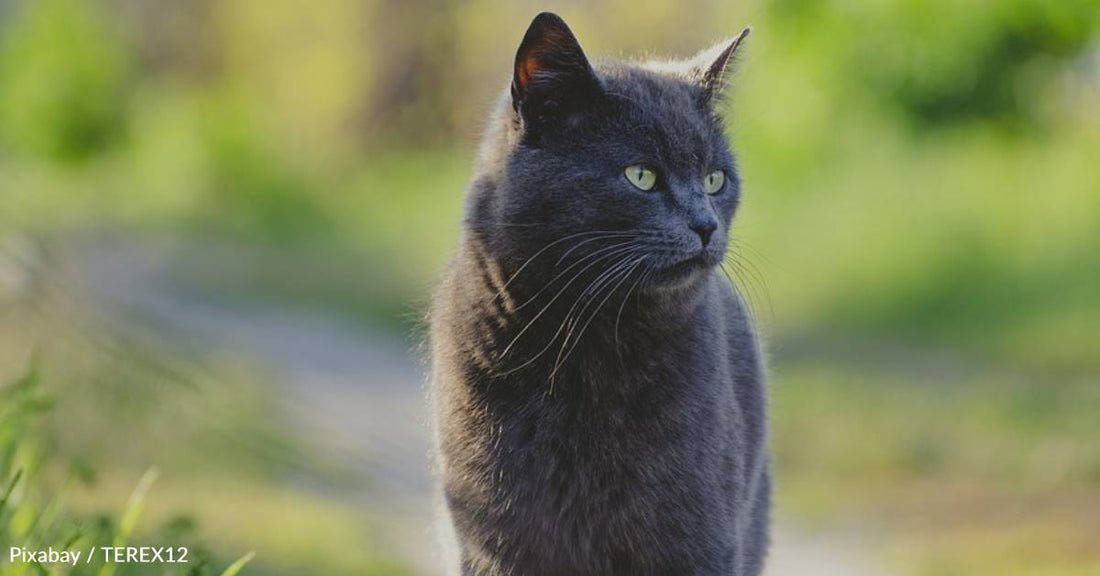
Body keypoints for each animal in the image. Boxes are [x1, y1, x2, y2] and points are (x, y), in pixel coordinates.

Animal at [424, 13, 770, 576]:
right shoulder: (494, 534)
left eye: (716, 179)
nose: (706, 225)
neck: (583, 339)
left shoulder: (696, 534)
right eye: (641, 176)